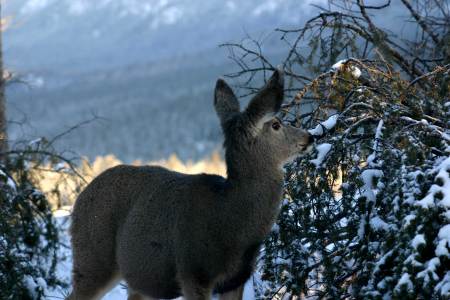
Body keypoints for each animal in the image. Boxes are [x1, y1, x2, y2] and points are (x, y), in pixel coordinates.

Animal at [67, 68, 312, 300]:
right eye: (276, 124)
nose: (309, 136)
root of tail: (78, 202)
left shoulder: (237, 279)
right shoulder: (193, 272)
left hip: (141, 278)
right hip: (93, 258)